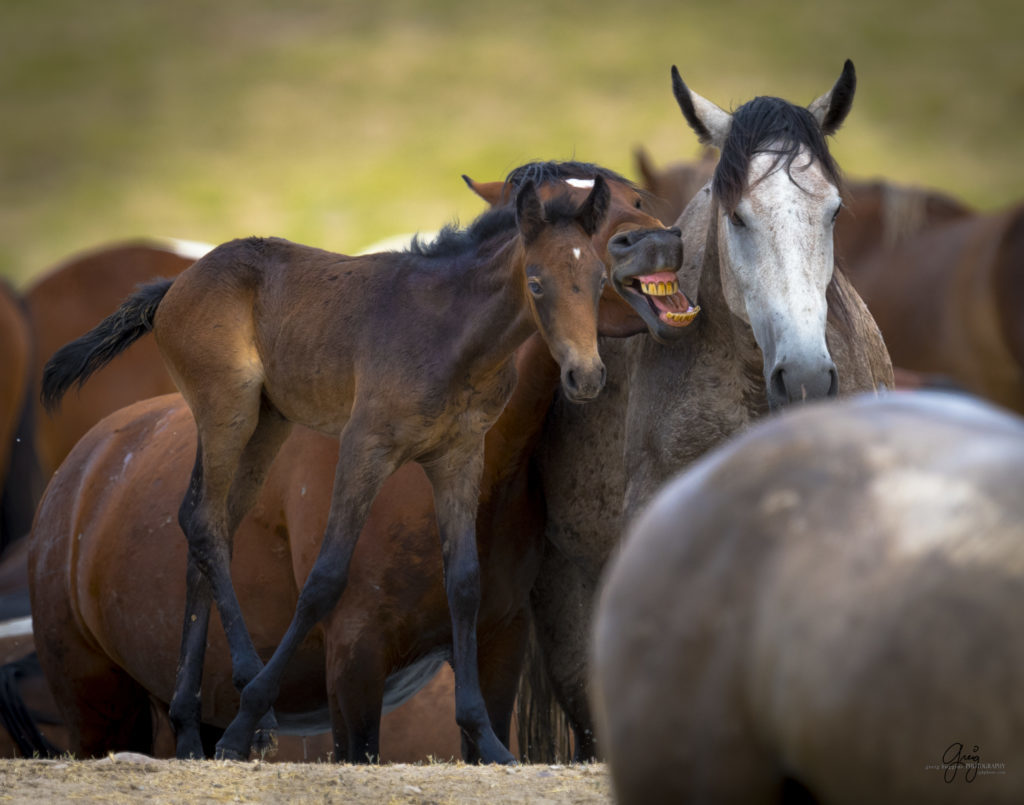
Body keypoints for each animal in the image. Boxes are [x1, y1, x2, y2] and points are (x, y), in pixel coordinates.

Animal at [28, 162, 692, 757]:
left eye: (595, 279)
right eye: (536, 284)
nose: (586, 376)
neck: (451, 335)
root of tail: (178, 283)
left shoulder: (458, 458)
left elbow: (464, 583)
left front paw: (483, 737)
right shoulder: (364, 450)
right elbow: (325, 578)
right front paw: (247, 719)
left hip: (266, 425)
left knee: (204, 526)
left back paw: (191, 726)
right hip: (227, 412)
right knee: (206, 524)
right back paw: (246, 702)